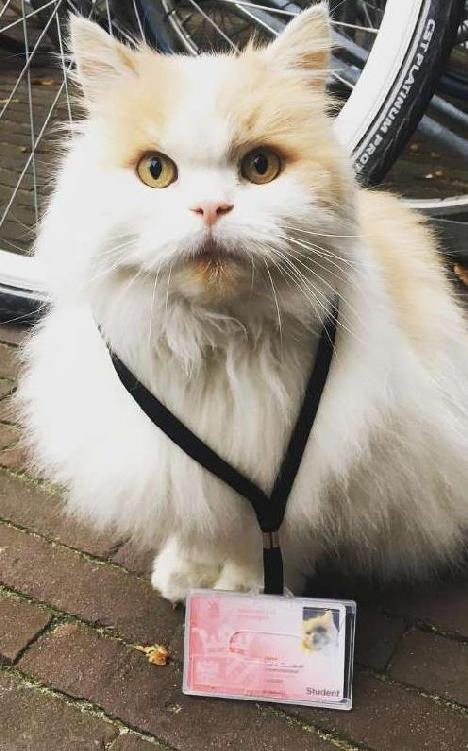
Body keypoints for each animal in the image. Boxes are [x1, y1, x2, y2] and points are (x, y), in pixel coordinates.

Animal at [18, 2, 468, 604]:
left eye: (261, 167)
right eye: (155, 171)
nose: (211, 208)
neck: (218, 342)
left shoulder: (307, 475)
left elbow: (270, 545)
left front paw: (249, 593)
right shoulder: (182, 469)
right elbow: (197, 526)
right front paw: (186, 576)